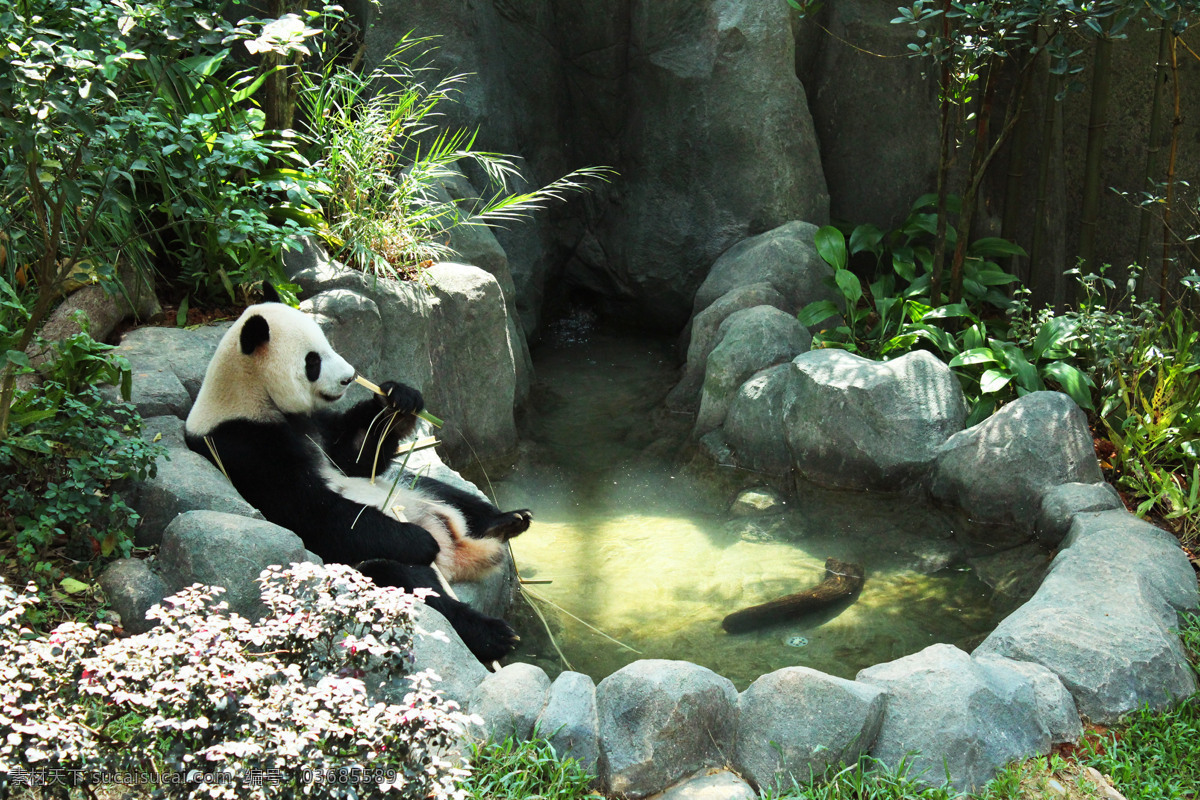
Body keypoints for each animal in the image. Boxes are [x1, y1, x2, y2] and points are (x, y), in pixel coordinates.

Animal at [182, 289, 530, 662]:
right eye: (313, 361)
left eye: (328, 345)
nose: (349, 377)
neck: (248, 394)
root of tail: (458, 552)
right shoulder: (244, 446)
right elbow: (313, 511)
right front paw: (418, 539)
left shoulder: (314, 426)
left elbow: (356, 459)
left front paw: (399, 401)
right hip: (376, 557)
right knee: (410, 581)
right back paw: (491, 631)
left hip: (409, 489)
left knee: (445, 491)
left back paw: (507, 521)